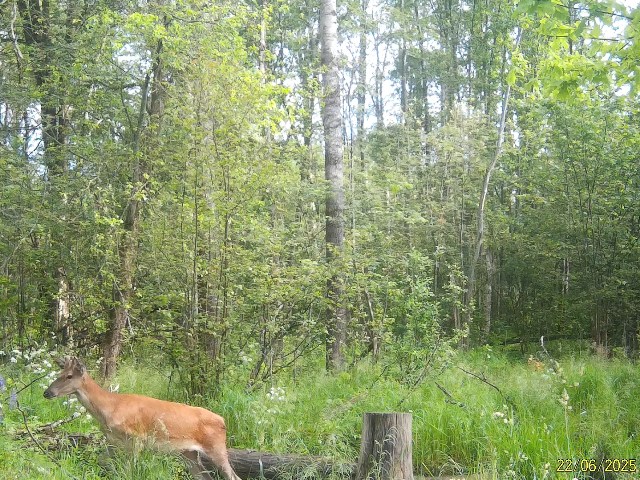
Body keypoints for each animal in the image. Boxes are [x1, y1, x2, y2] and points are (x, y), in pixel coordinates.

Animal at [43, 356, 242, 480]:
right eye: (59, 374)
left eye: (69, 376)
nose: (47, 392)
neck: (109, 408)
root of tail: (223, 421)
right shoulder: (113, 441)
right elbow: (104, 462)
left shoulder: (136, 439)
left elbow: (129, 471)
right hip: (188, 453)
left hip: (216, 447)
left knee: (234, 476)